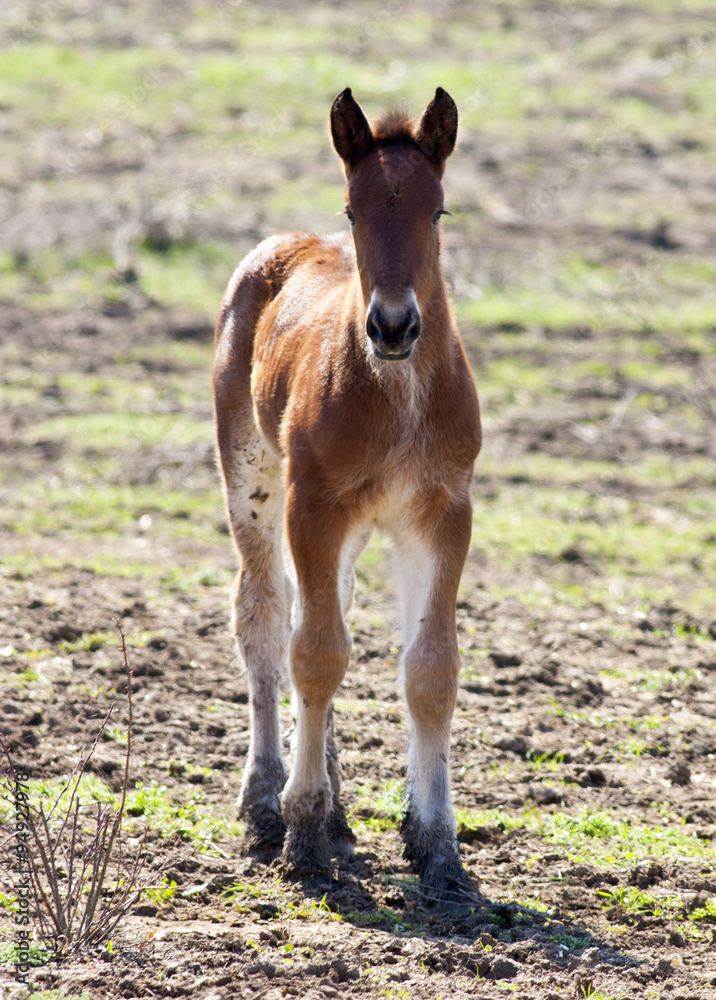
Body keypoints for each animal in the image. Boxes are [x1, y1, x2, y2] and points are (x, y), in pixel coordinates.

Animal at [213, 87, 482, 905]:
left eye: (437, 211)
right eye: (354, 209)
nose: (392, 325)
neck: (396, 392)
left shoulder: (442, 512)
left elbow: (431, 669)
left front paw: (437, 849)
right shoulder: (314, 504)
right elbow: (316, 654)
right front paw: (301, 832)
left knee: (323, 608)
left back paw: (335, 807)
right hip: (253, 480)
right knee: (267, 618)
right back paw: (267, 801)